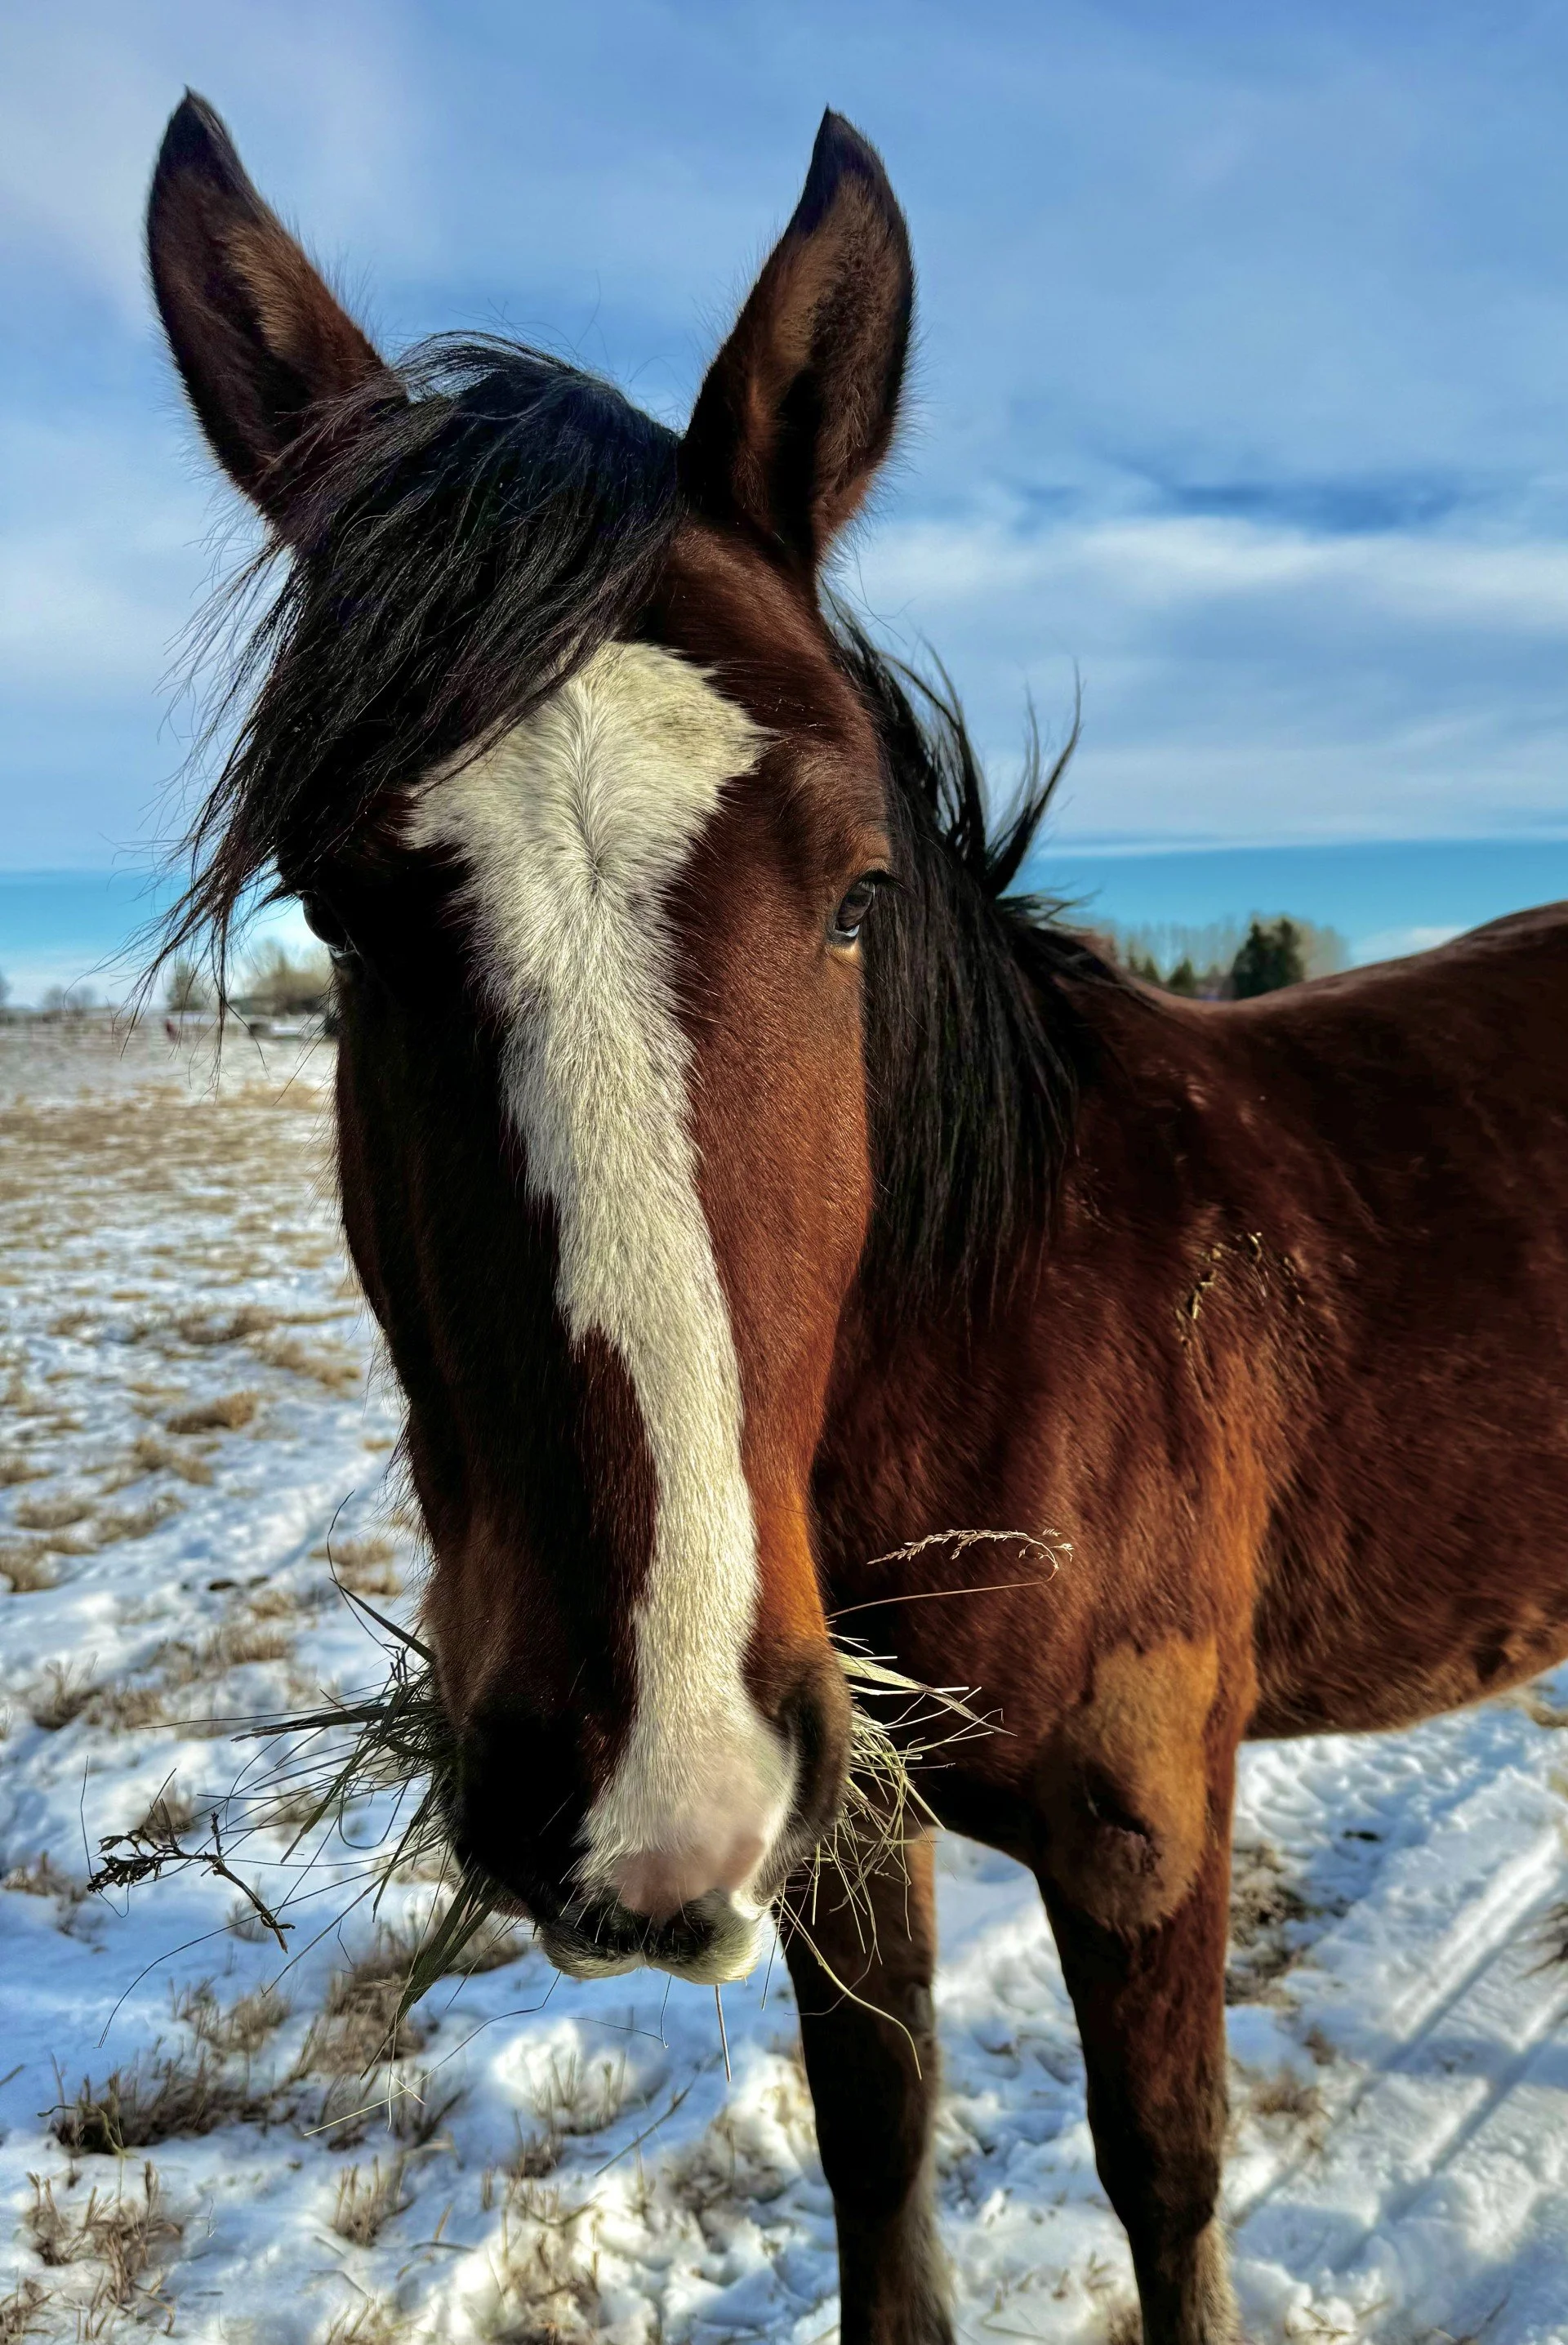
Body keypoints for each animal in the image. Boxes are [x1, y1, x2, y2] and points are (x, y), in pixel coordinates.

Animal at [145, 93, 1568, 2345]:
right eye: (335, 909)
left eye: (852, 891)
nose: (644, 1774)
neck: (1015, 1325)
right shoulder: (839, 1830)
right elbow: (878, 2164)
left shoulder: (1145, 1828)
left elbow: (1169, 2186)